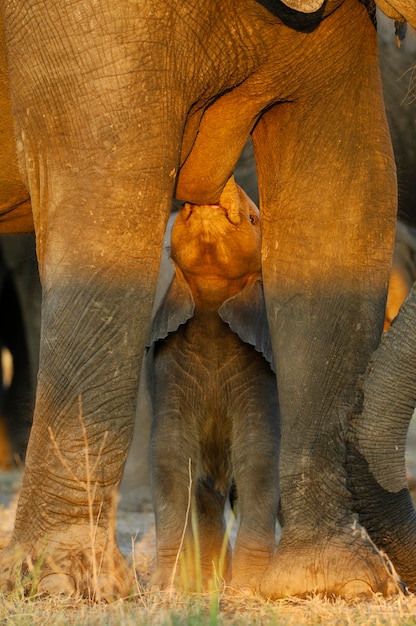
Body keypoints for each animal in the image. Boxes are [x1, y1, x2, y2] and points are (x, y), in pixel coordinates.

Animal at [146, 176, 280, 588]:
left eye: (253, 218)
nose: (229, 178)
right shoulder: (169, 366)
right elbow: (170, 452)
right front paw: (169, 588)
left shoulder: (261, 367)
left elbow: (258, 449)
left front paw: (249, 586)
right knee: (205, 492)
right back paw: (208, 583)